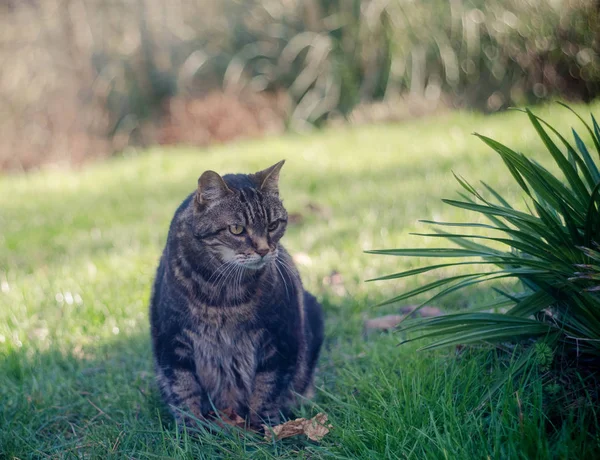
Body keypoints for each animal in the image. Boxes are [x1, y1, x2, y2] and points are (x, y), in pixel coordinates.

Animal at [149, 161, 324, 428]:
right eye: (237, 229)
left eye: (273, 225)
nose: (263, 250)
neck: (222, 296)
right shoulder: (173, 341)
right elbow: (183, 391)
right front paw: (190, 432)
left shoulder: (280, 339)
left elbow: (266, 391)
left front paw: (263, 430)